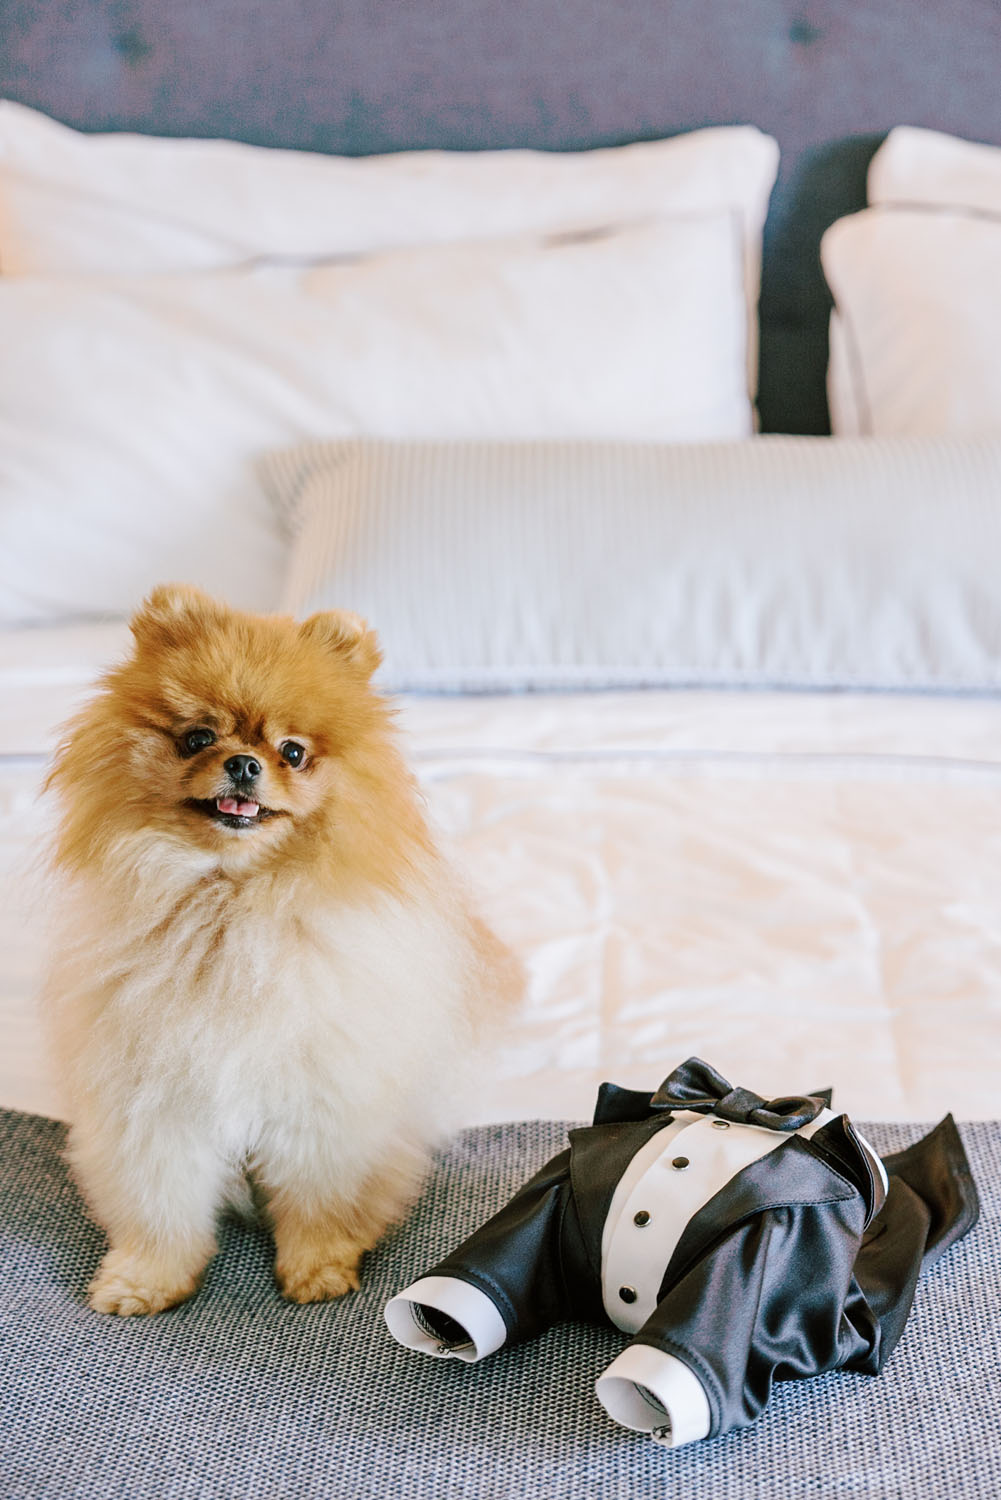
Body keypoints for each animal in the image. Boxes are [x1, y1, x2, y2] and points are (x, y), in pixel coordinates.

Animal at [44, 585, 522, 1314]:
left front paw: (318, 1269)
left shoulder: (322, 1102)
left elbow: (319, 1199)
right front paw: (144, 1279)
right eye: (198, 737)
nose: (244, 763)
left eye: (292, 753)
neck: (231, 904)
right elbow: (162, 1207)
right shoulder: (152, 1103)